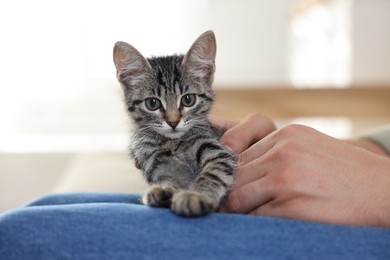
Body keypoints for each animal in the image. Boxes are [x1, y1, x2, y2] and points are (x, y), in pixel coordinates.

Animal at [111, 30, 236, 217]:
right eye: (152, 103)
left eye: (188, 99)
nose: (173, 122)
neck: (170, 144)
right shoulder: (157, 166)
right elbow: (169, 181)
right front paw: (164, 190)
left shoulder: (216, 151)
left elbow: (213, 173)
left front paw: (194, 195)